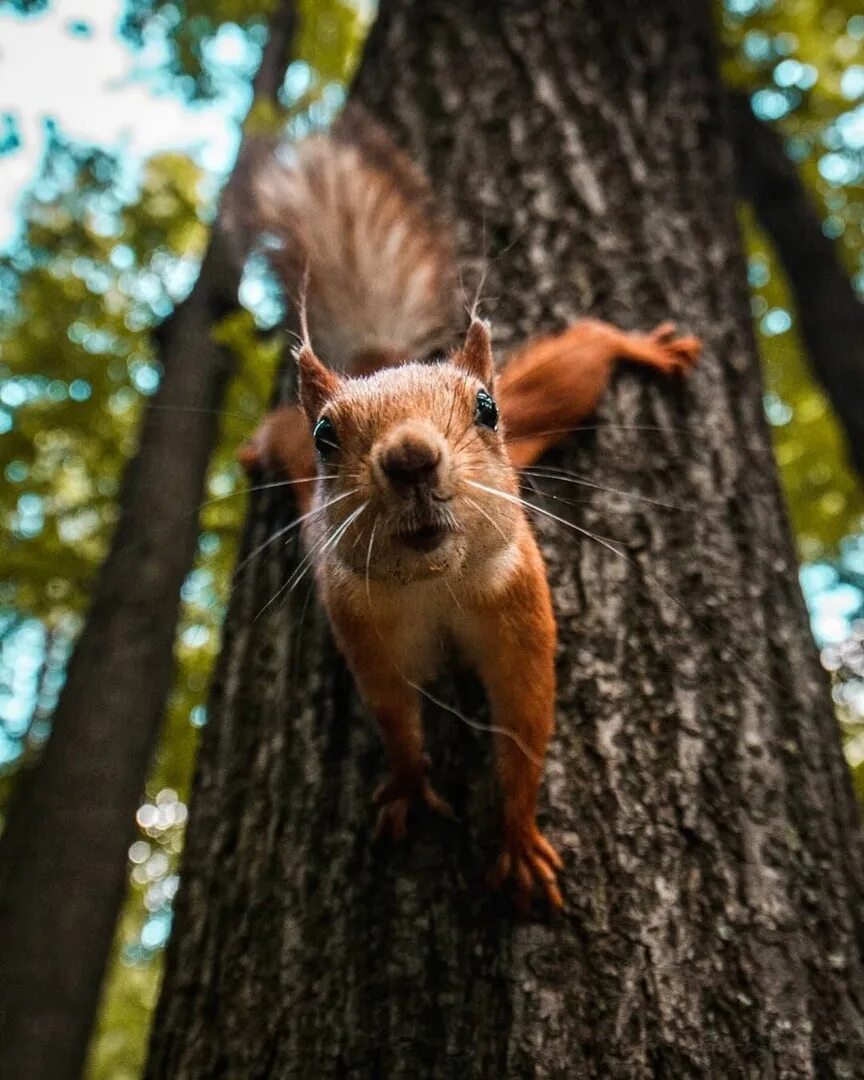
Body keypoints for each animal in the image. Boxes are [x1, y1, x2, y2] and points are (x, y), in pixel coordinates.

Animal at [231, 107, 699, 911]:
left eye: (484, 408)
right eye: (328, 436)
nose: (411, 458)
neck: (435, 585)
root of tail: (378, 358)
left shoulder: (520, 611)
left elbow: (526, 724)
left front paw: (518, 840)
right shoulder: (365, 631)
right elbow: (396, 722)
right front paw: (408, 791)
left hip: (555, 390)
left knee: (588, 349)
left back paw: (640, 344)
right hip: (288, 443)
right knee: (273, 431)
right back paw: (250, 453)